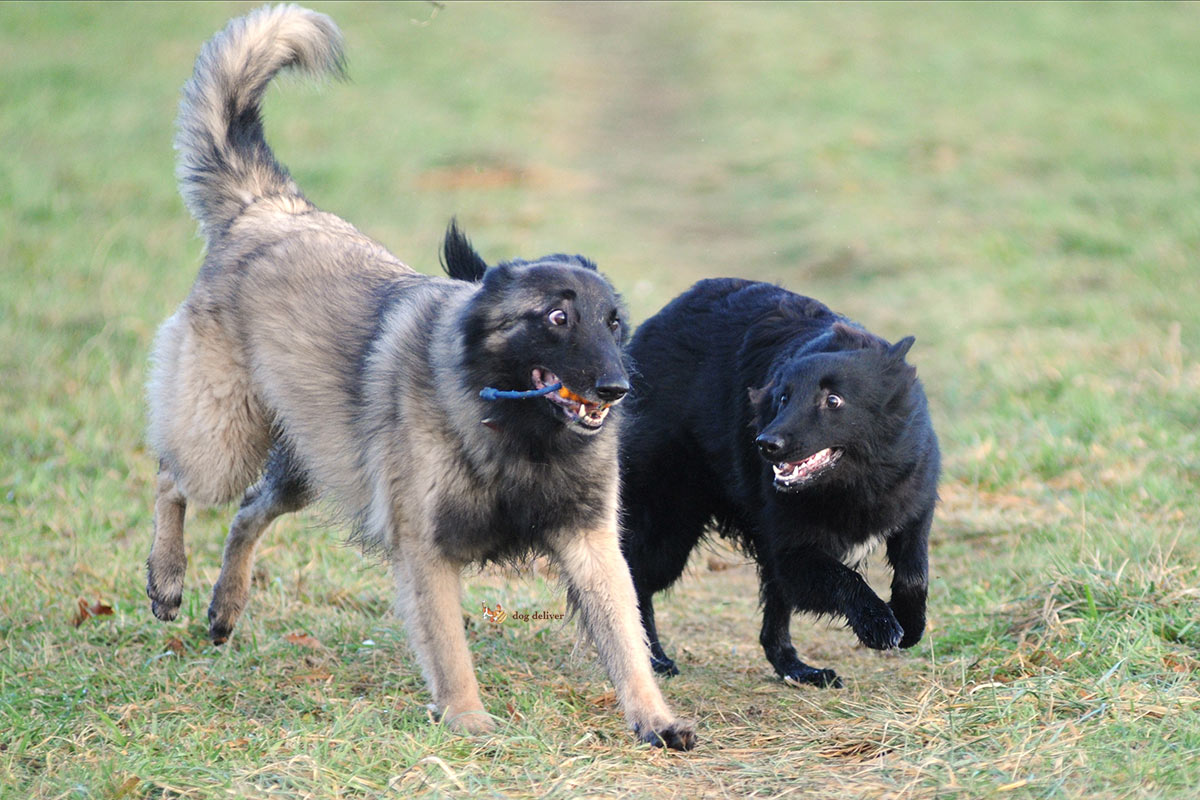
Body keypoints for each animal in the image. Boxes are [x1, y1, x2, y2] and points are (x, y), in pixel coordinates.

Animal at [619, 278, 936, 686]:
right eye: (783, 398)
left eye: (833, 400)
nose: (765, 444)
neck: (856, 482)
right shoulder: (793, 552)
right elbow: (846, 578)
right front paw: (878, 623)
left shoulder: (912, 511)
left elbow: (914, 574)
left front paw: (910, 623)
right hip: (671, 527)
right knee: (637, 579)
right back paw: (654, 659)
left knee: (773, 628)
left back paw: (798, 670)